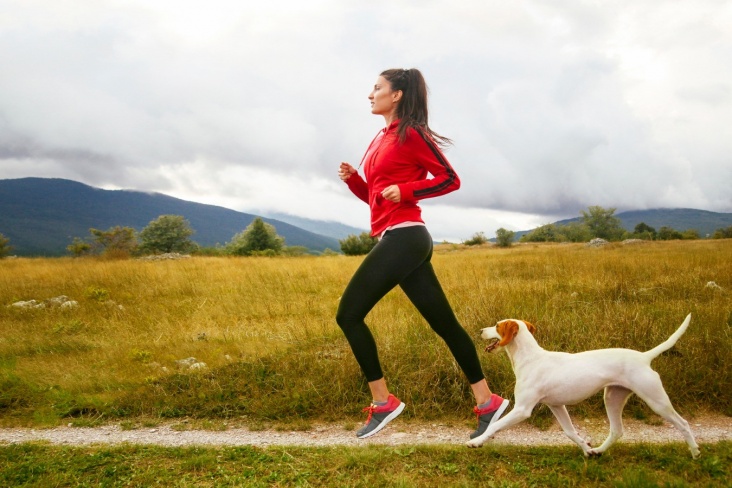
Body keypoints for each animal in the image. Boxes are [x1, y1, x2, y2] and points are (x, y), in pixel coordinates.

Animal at [466, 312, 700, 458]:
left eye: (497, 325)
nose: (480, 330)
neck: (531, 358)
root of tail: (644, 357)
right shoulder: (556, 406)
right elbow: (570, 432)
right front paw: (586, 449)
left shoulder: (522, 409)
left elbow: (495, 424)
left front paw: (477, 442)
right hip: (612, 398)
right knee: (617, 431)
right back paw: (598, 451)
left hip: (656, 400)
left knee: (683, 423)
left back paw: (695, 452)